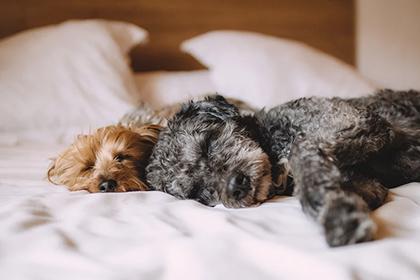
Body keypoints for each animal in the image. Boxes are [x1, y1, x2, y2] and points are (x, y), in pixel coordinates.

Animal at [145, 89, 420, 245]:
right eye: (198, 192)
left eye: (208, 144)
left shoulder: (359, 120)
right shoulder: (370, 184)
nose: (236, 186)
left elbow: (301, 150)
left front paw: (338, 217)